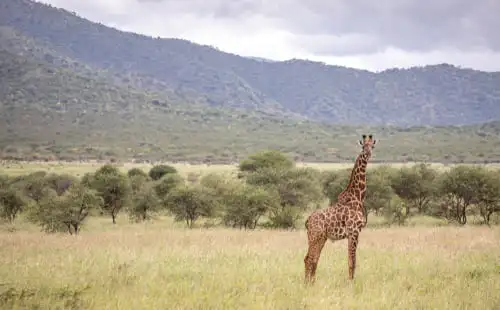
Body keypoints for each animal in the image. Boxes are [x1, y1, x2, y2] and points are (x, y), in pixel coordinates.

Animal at [302, 133, 376, 284]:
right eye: (363, 146)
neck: (358, 197)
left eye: (372, 146)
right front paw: (351, 283)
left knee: (314, 259)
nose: (367, 154)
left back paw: (312, 283)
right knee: (308, 259)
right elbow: (352, 262)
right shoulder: (353, 231)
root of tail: (308, 220)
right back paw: (306, 283)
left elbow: (352, 260)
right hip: (314, 236)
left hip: (321, 238)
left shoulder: (354, 233)